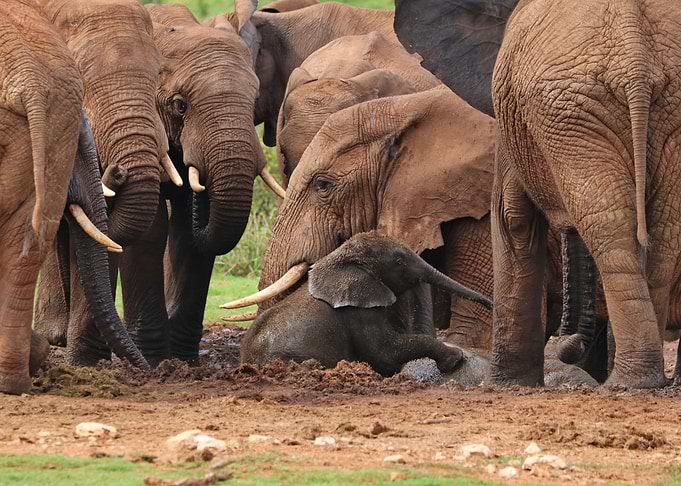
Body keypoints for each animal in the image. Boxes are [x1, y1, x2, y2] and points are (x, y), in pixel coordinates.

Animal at [240, 232, 492, 376]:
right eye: (399, 261)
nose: (490, 304)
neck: (339, 258)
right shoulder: (359, 312)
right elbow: (385, 354)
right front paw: (455, 360)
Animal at [394, 0, 681, 388]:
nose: (569, 347)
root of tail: (635, 59)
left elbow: (511, 217)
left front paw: (506, 383)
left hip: (569, 113)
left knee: (614, 228)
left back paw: (628, 380)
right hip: (615, 111)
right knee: (659, 232)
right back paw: (641, 379)